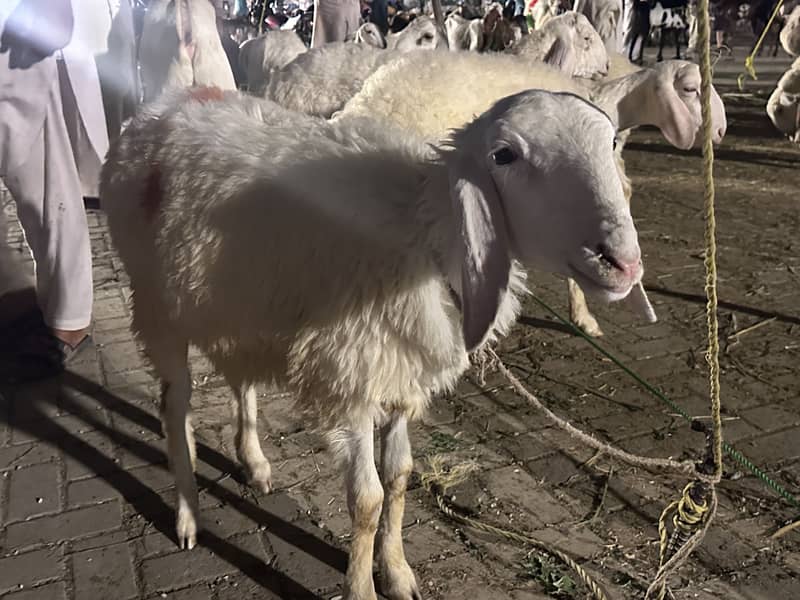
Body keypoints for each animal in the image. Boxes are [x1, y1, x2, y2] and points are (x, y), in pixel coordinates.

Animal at [101, 86, 642, 600]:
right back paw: (188, 515)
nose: (622, 262)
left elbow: (400, 478)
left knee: (241, 379)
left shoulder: (401, 376)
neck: (427, 238)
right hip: (158, 306)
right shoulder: (353, 380)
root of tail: (160, 106)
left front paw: (398, 572)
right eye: (504, 154)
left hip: (233, 304)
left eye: (613, 143)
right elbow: (367, 499)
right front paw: (362, 587)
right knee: (175, 406)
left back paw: (253, 461)